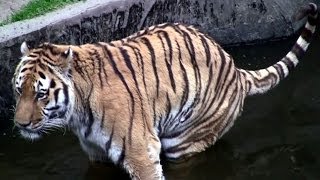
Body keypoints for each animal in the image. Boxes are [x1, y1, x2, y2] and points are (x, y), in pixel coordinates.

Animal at [11, 2, 318, 180]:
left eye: (40, 94)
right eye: (18, 91)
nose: (20, 124)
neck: (77, 115)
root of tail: (235, 68)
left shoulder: (142, 155)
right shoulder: (97, 157)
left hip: (184, 140)